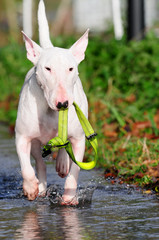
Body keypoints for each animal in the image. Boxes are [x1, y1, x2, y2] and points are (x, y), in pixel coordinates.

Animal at [15, 0, 88, 204]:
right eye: (47, 68)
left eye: (71, 68)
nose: (63, 104)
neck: (49, 111)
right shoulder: (22, 136)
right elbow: (26, 166)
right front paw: (30, 187)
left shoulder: (80, 139)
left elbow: (75, 169)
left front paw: (69, 197)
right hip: (35, 142)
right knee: (39, 161)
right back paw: (39, 187)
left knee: (64, 147)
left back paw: (62, 163)